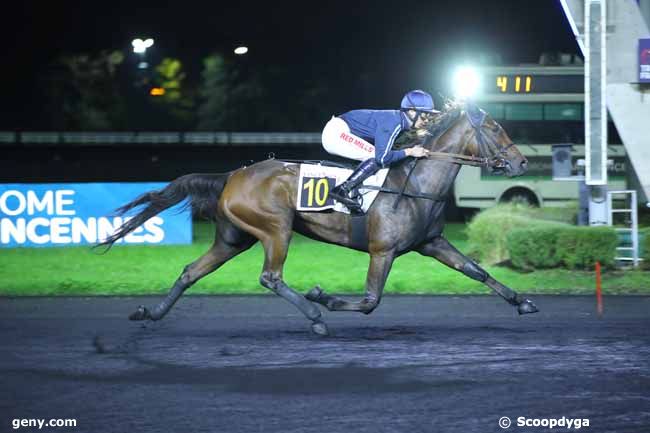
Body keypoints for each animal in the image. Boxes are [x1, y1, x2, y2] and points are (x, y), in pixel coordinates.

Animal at [100, 101, 536, 334]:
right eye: (495, 128)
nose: (521, 162)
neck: (416, 183)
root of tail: (232, 175)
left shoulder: (432, 243)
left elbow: (476, 270)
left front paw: (522, 301)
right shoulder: (383, 250)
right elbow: (370, 301)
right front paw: (322, 297)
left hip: (233, 237)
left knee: (191, 271)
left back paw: (150, 313)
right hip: (275, 229)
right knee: (270, 277)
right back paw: (313, 315)